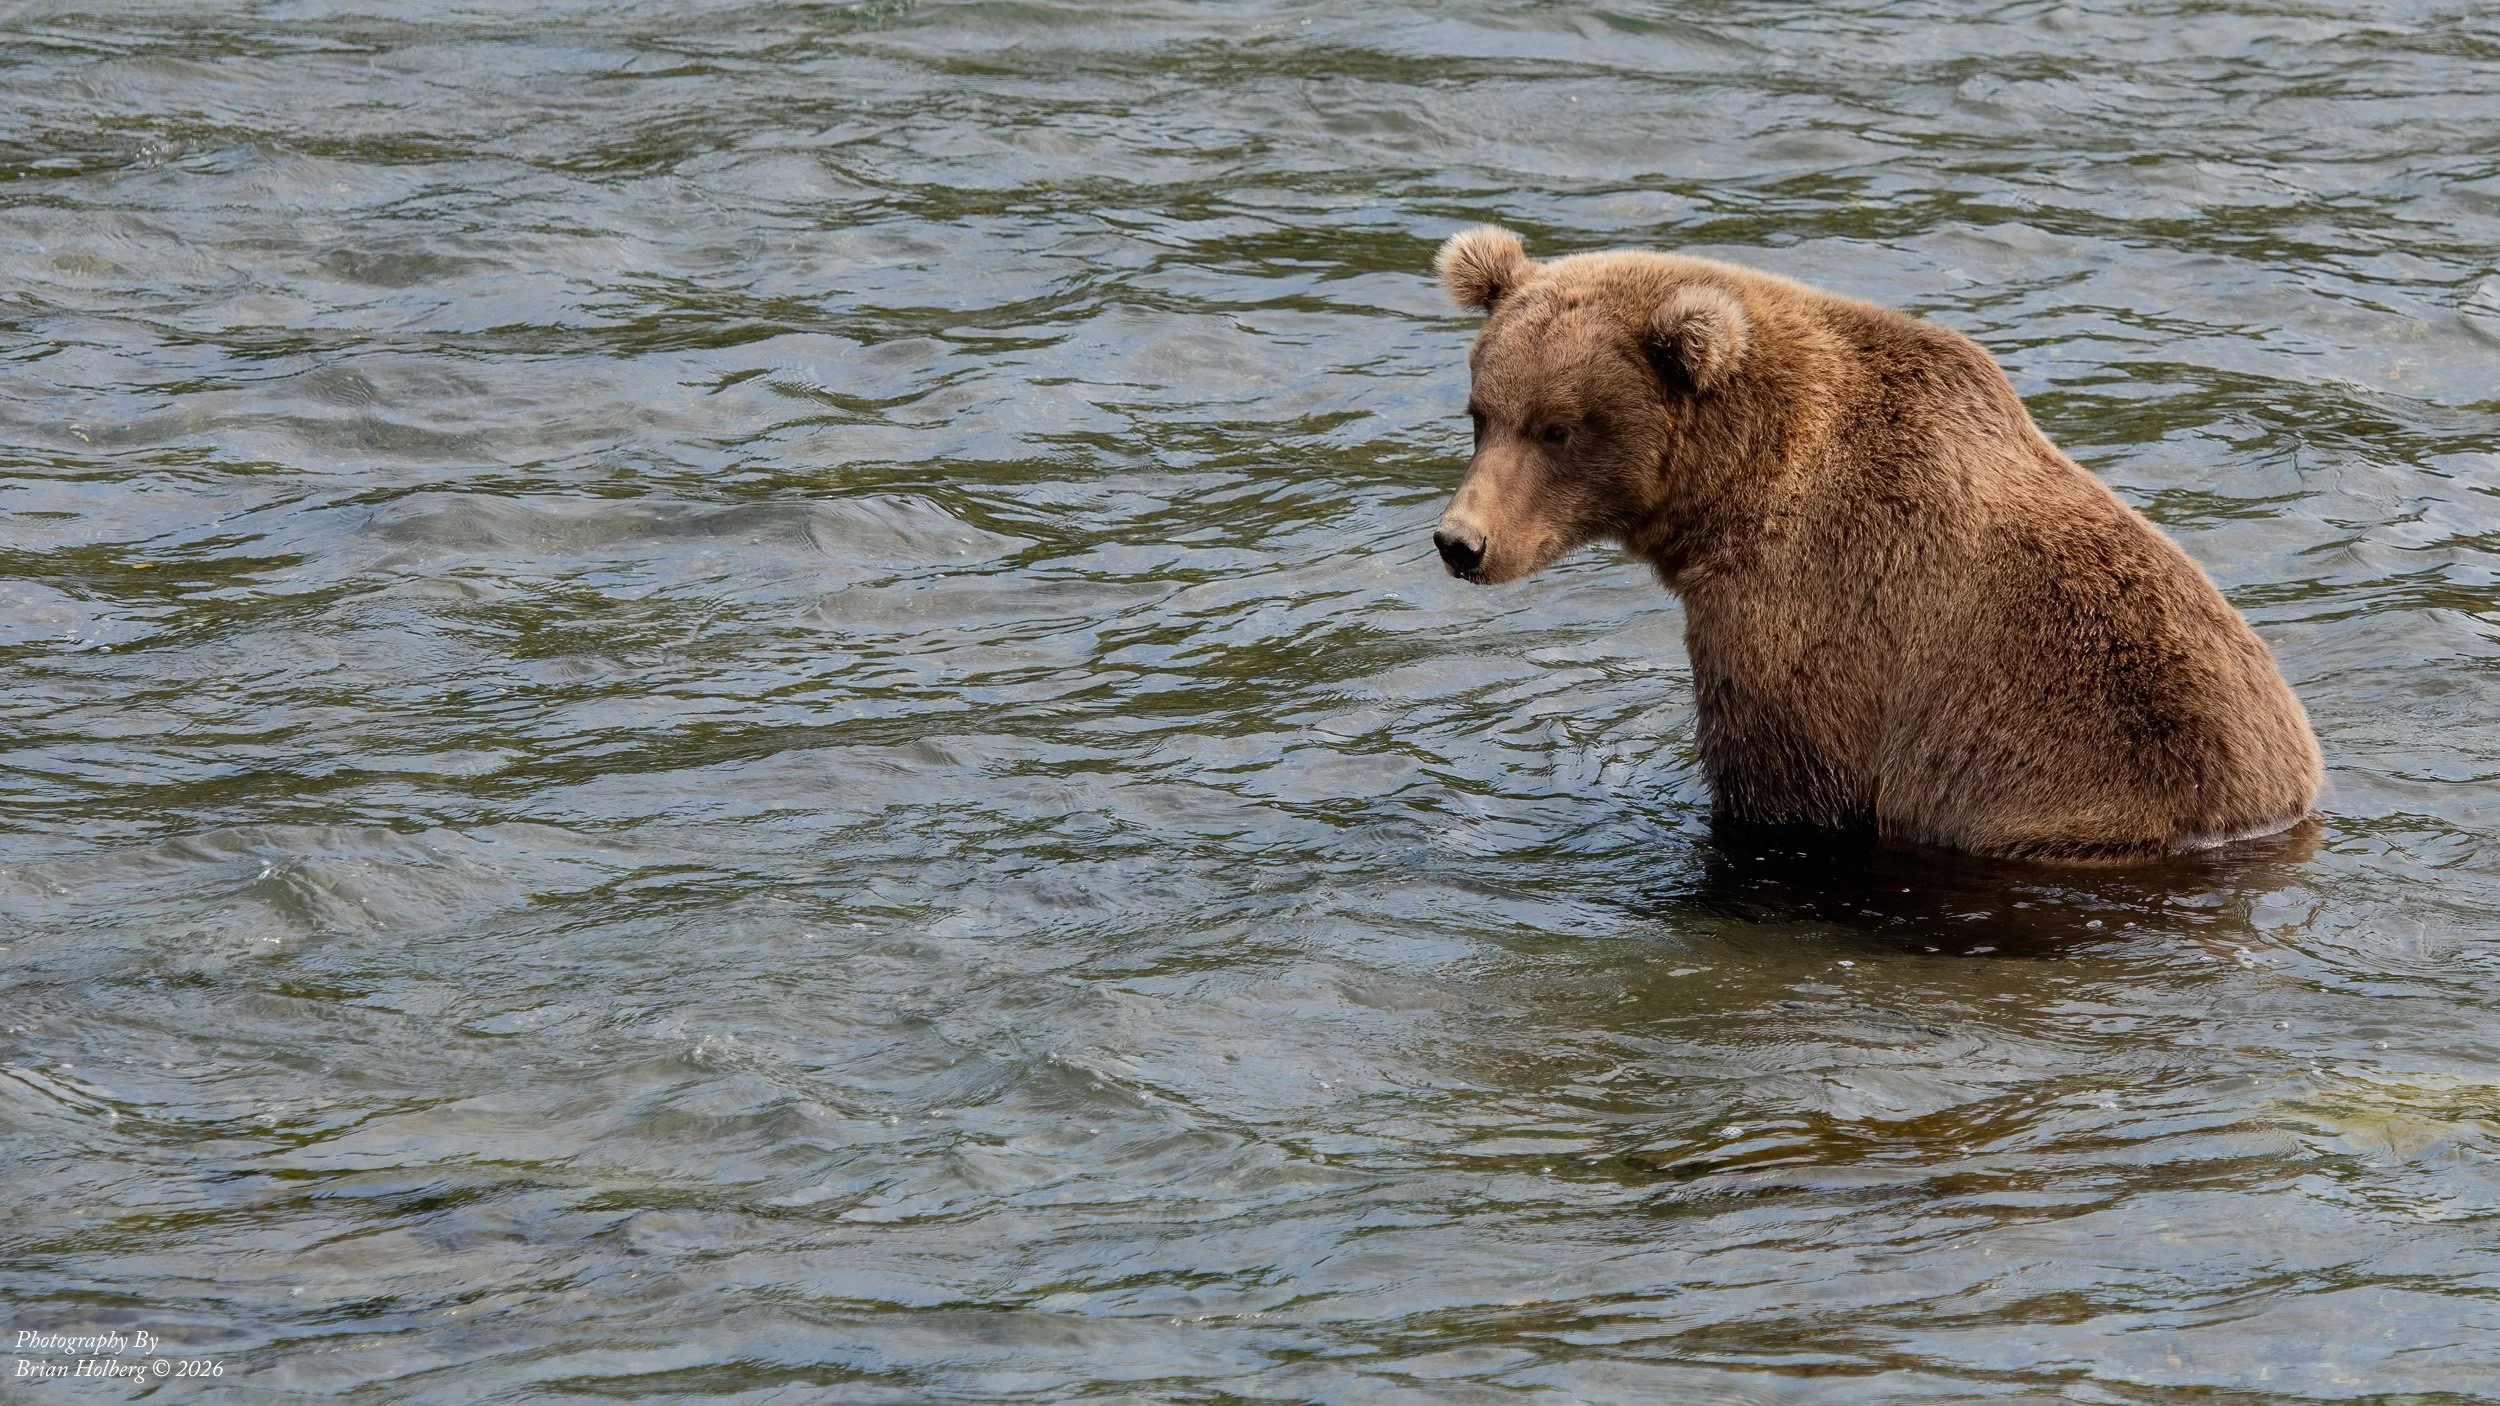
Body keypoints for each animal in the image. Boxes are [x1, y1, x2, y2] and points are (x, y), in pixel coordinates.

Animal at [1427, 225, 2321, 864]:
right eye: (1481, 413)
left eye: (1558, 428)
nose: (1461, 542)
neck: (1739, 487)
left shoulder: (1810, 615)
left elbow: (1790, 792)